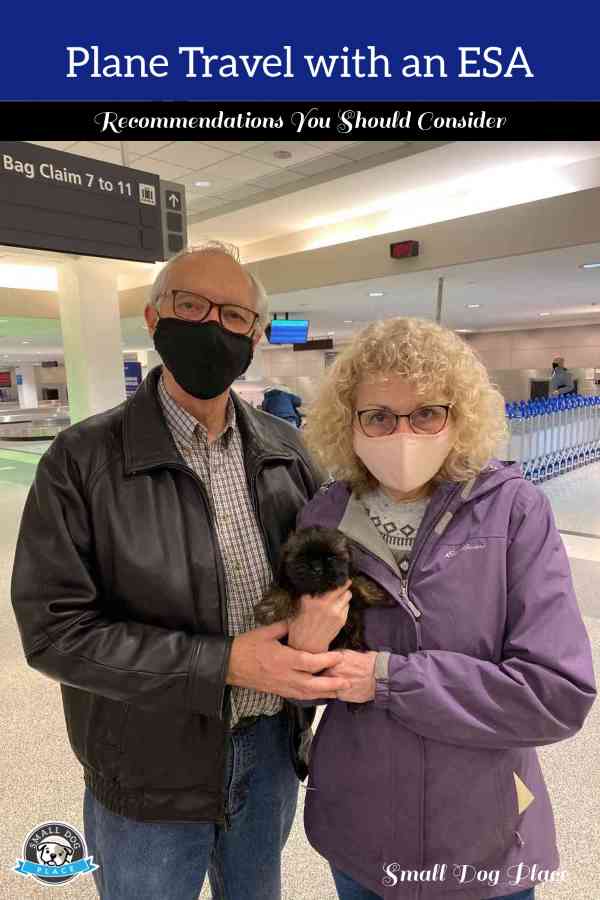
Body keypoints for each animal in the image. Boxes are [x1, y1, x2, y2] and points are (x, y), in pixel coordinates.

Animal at [253, 524, 394, 652]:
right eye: (302, 557)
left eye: (331, 557)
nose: (317, 568)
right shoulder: (287, 581)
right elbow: (283, 590)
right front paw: (270, 608)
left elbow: (357, 582)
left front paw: (379, 594)